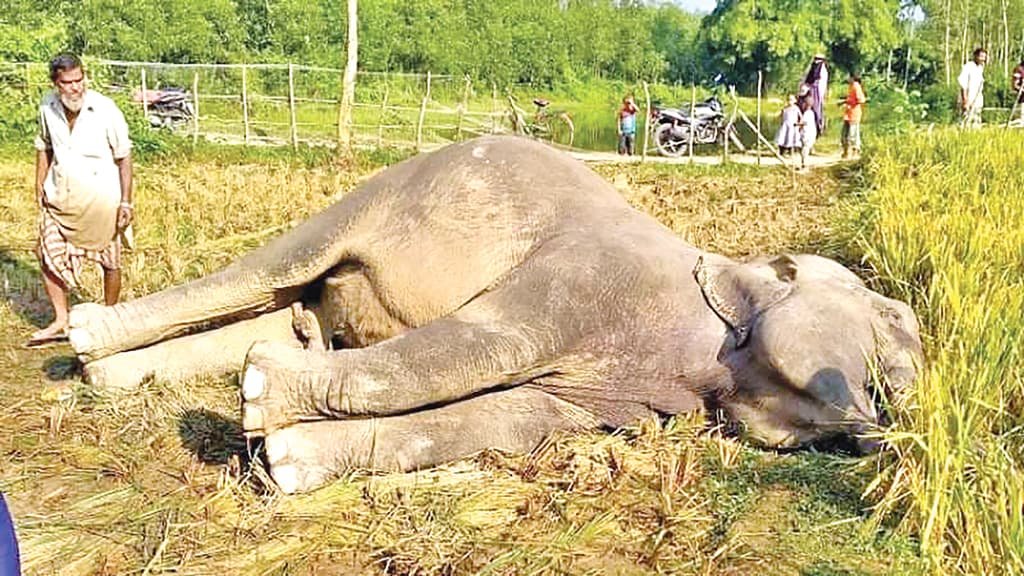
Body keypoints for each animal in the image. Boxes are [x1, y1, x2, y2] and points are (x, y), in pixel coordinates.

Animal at [68, 135, 925, 494]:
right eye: (892, 323)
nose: (905, 422)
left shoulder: (625, 403)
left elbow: (513, 418)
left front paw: (285, 462)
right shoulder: (584, 279)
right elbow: (480, 349)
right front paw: (256, 398)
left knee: (279, 308)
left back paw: (116, 374)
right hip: (380, 193)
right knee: (272, 270)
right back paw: (83, 336)